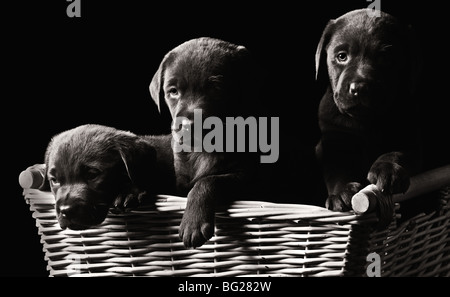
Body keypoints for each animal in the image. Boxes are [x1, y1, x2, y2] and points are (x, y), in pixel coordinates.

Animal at [151, 38, 264, 249]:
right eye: (173, 91)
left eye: (216, 88)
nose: (187, 125)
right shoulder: (180, 179)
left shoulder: (245, 176)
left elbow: (208, 180)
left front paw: (193, 224)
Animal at [314, 8, 424, 220]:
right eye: (342, 56)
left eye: (386, 58)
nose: (359, 88)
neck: (366, 121)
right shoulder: (334, 141)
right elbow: (337, 170)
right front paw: (341, 193)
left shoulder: (412, 135)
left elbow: (398, 151)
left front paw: (387, 170)